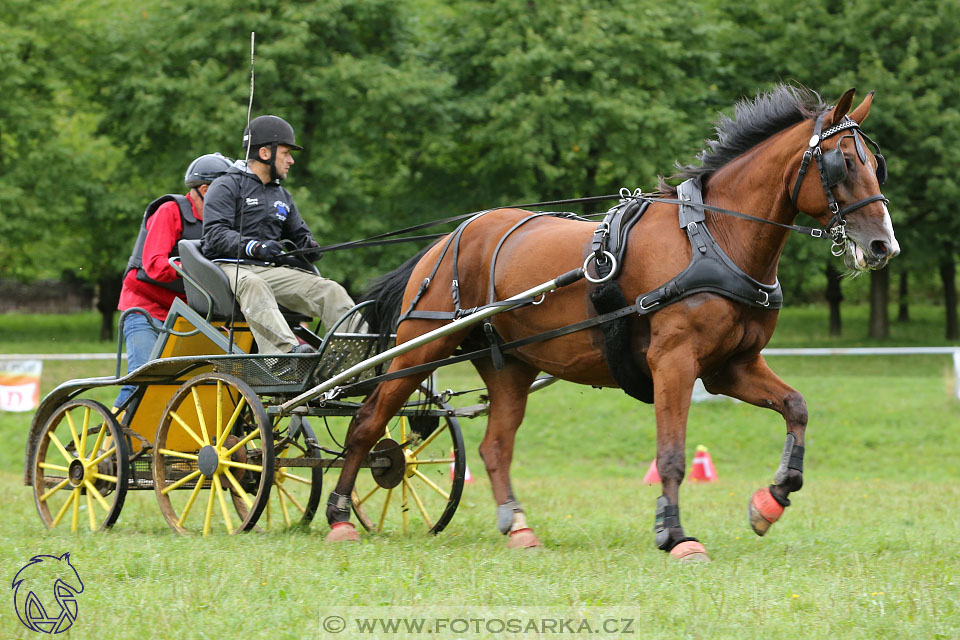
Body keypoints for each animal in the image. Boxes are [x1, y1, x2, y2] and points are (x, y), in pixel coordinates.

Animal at [324, 86, 900, 560]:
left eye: (876, 164)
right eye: (843, 163)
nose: (883, 246)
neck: (714, 236)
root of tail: (448, 238)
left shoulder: (729, 368)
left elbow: (796, 408)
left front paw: (771, 500)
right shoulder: (674, 362)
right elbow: (671, 455)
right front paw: (675, 535)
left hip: (509, 366)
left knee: (494, 447)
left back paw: (519, 529)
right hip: (418, 347)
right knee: (368, 421)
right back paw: (338, 516)